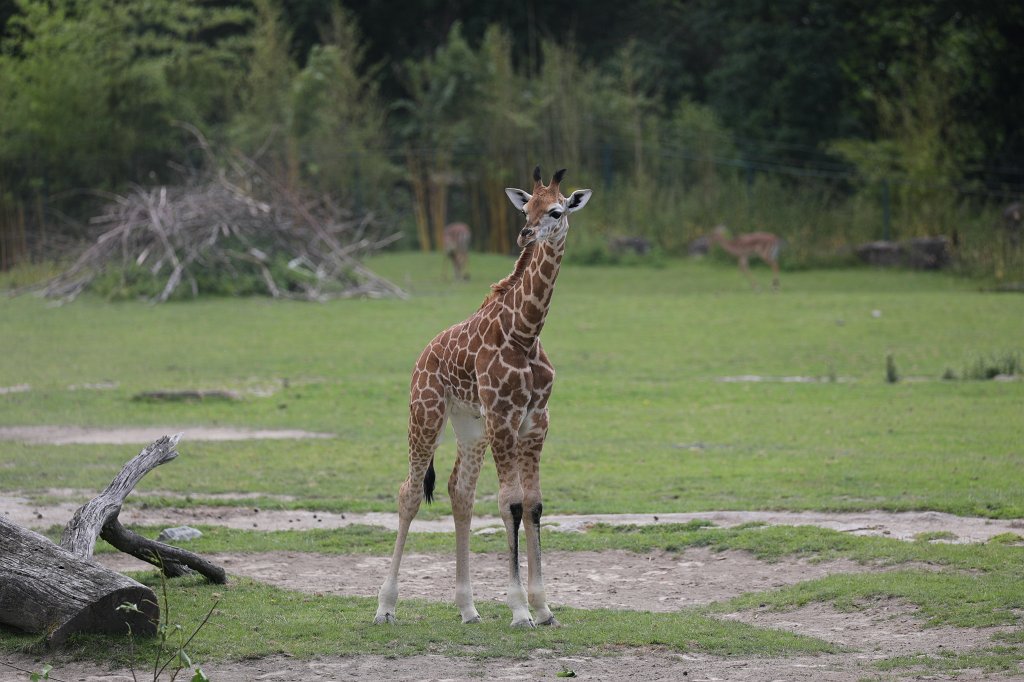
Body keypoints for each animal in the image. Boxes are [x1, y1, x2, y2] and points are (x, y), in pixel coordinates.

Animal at [374, 166, 592, 628]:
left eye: (557, 210)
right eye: (526, 208)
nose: (526, 234)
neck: (525, 333)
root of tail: (423, 355)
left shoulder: (536, 420)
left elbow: (534, 504)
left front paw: (543, 608)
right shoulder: (503, 417)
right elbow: (510, 504)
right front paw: (519, 610)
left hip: (469, 426)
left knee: (460, 493)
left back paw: (468, 608)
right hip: (425, 413)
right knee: (409, 492)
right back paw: (385, 606)